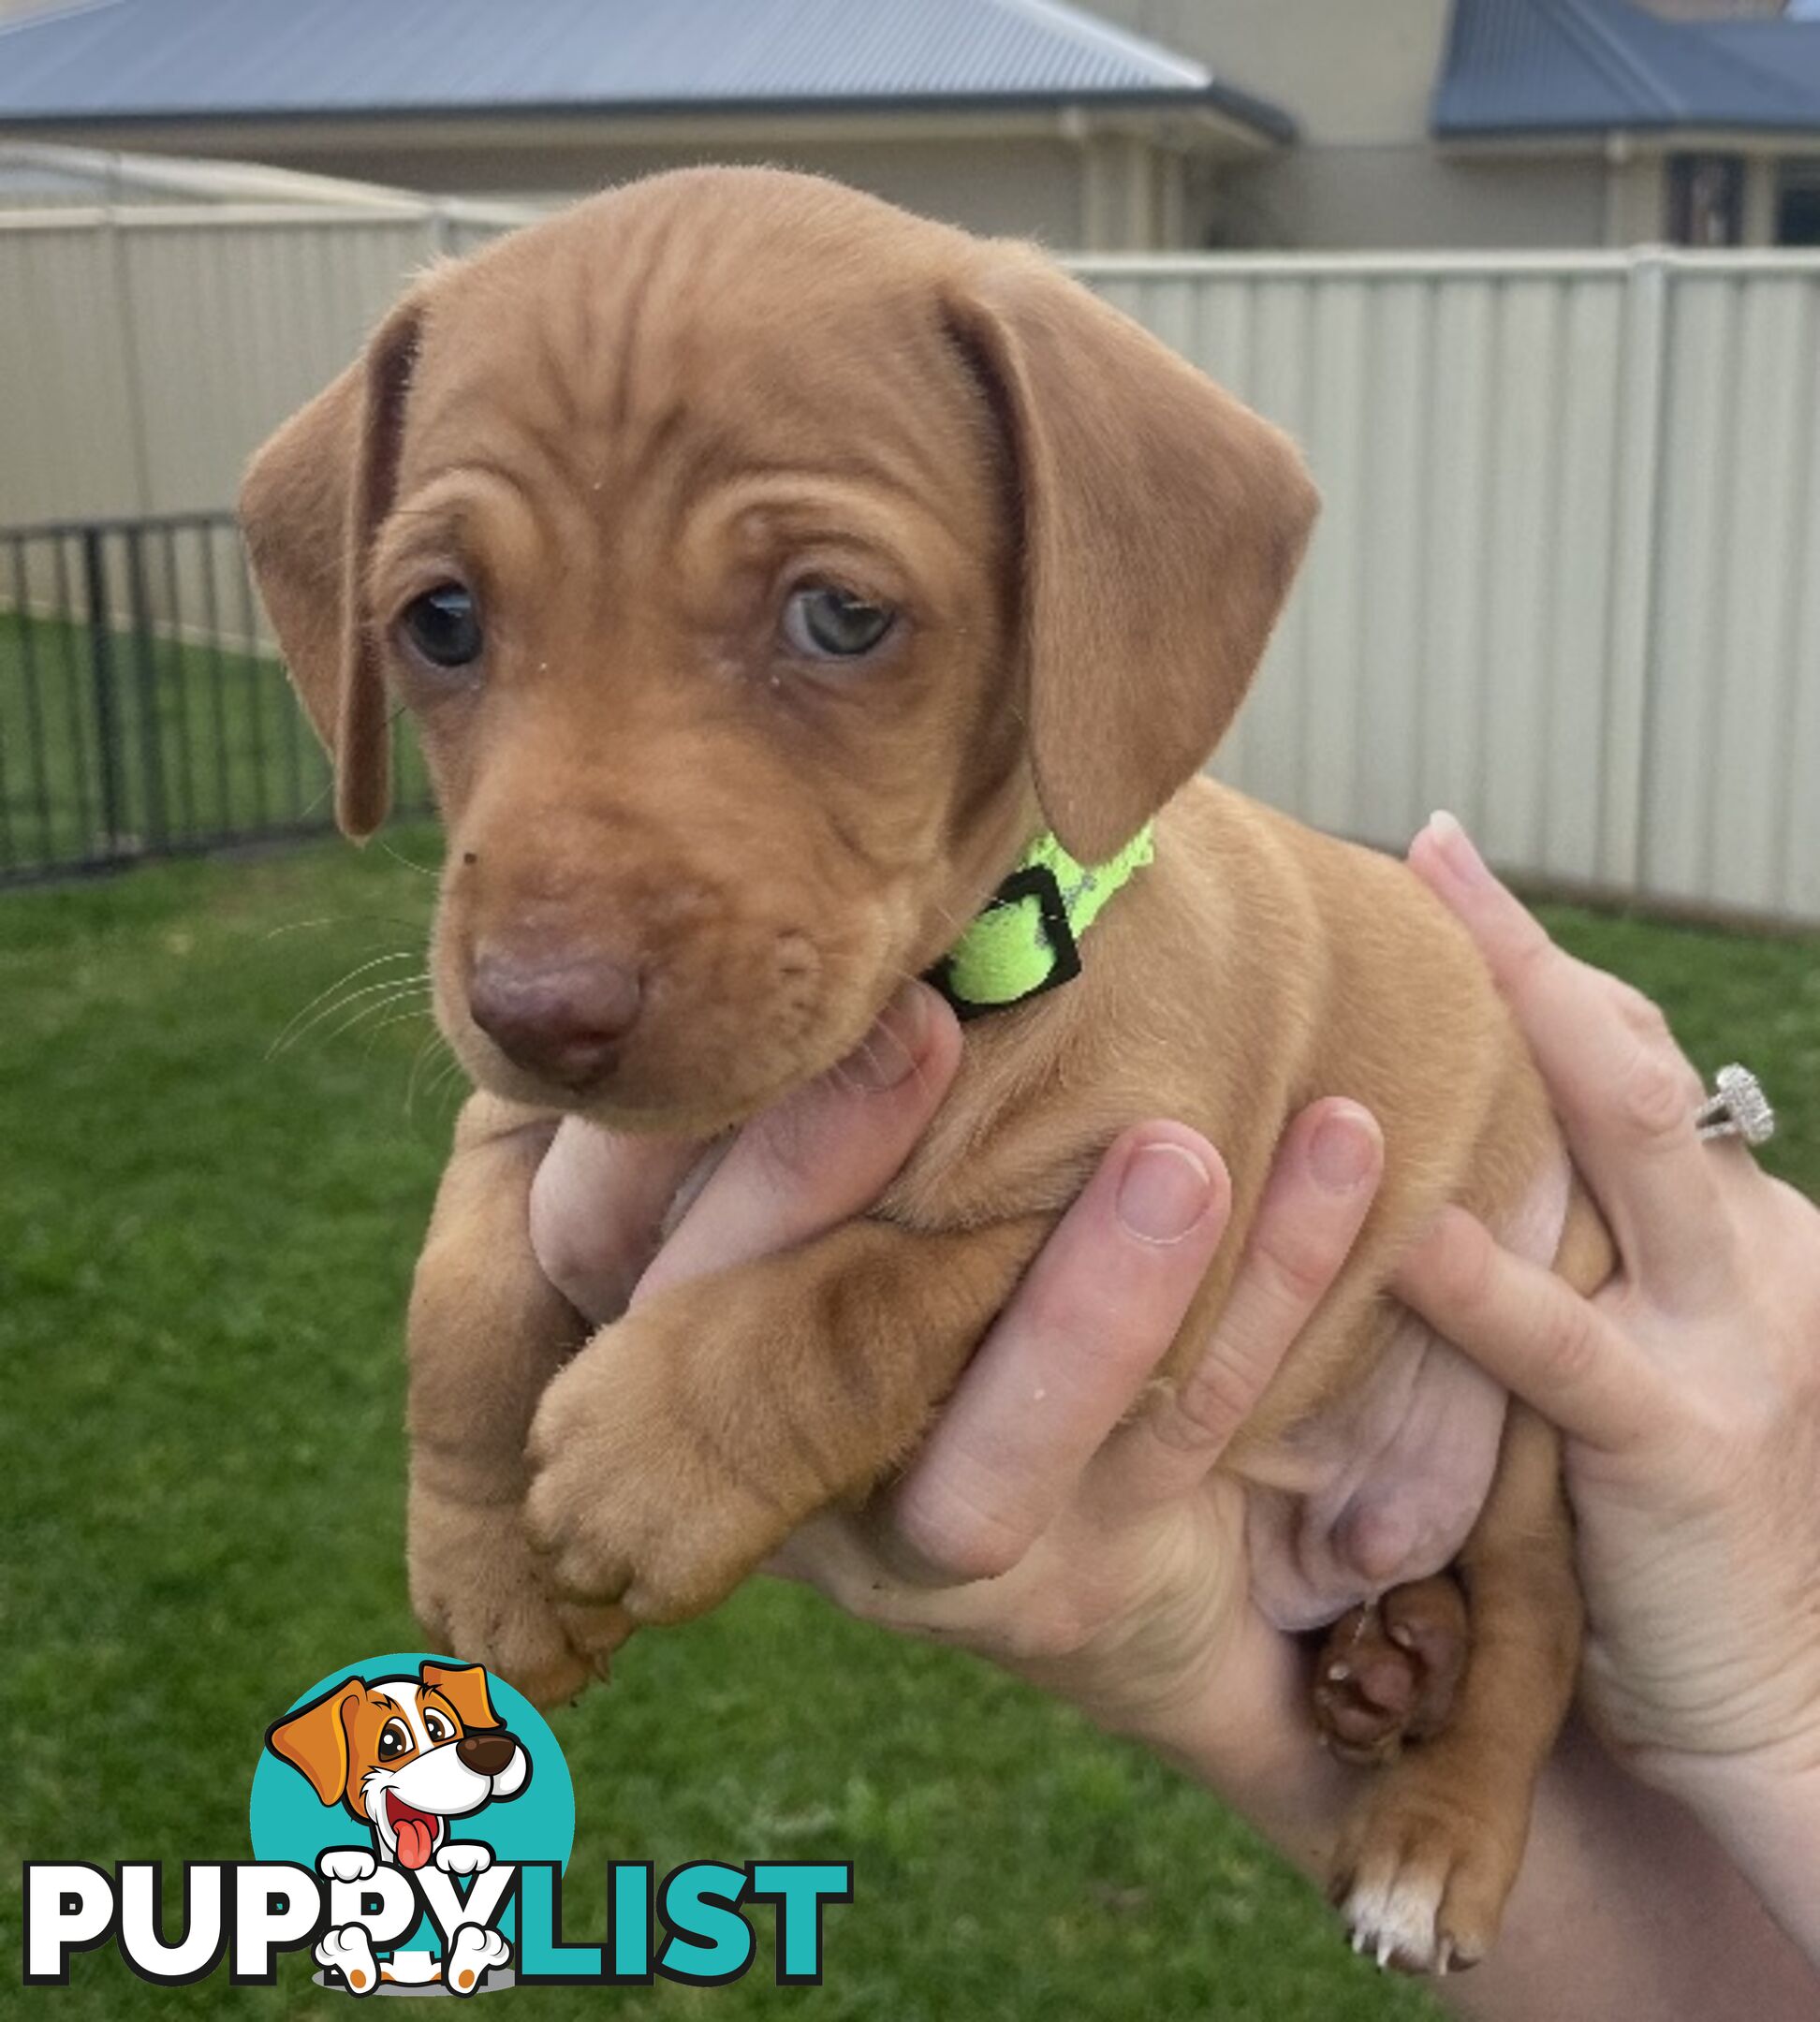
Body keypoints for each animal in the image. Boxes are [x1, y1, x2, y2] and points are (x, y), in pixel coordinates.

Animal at [238, 173, 1609, 1973]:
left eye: (838, 617)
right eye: (440, 622)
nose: (540, 1007)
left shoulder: (1167, 1218)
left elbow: (861, 1300)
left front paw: (651, 1455)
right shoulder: (518, 1125)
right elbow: (459, 1303)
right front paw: (480, 1564)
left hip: (1535, 1385)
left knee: (1535, 1620)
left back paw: (1432, 1833)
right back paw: (1392, 1663)